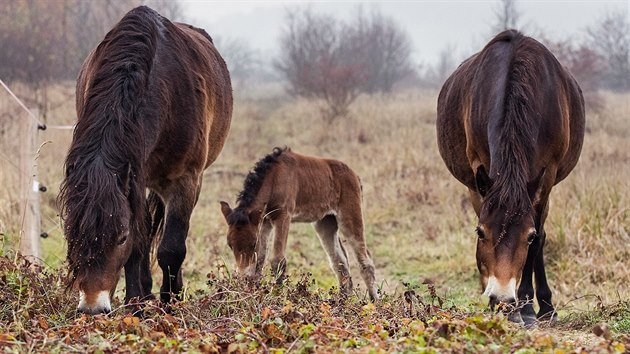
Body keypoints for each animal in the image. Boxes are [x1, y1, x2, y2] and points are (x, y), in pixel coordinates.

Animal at [57, 6, 232, 316]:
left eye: (119, 237)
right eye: (72, 234)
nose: (92, 309)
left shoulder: (184, 180)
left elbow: (171, 248)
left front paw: (170, 304)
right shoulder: (134, 178)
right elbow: (139, 245)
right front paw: (135, 305)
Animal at [222, 148, 380, 300]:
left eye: (252, 244)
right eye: (230, 245)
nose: (242, 277)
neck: (274, 177)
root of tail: (355, 176)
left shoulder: (283, 216)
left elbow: (277, 260)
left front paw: (277, 296)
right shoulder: (265, 220)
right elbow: (259, 259)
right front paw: (253, 293)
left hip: (350, 216)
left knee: (365, 260)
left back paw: (374, 301)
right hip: (325, 223)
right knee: (339, 261)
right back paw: (343, 300)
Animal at [440, 31, 588, 326]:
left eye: (527, 237)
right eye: (480, 232)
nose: (502, 299)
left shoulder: (546, 176)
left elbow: (539, 240)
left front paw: (528, 308)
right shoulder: (481, 174)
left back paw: (545, 307)